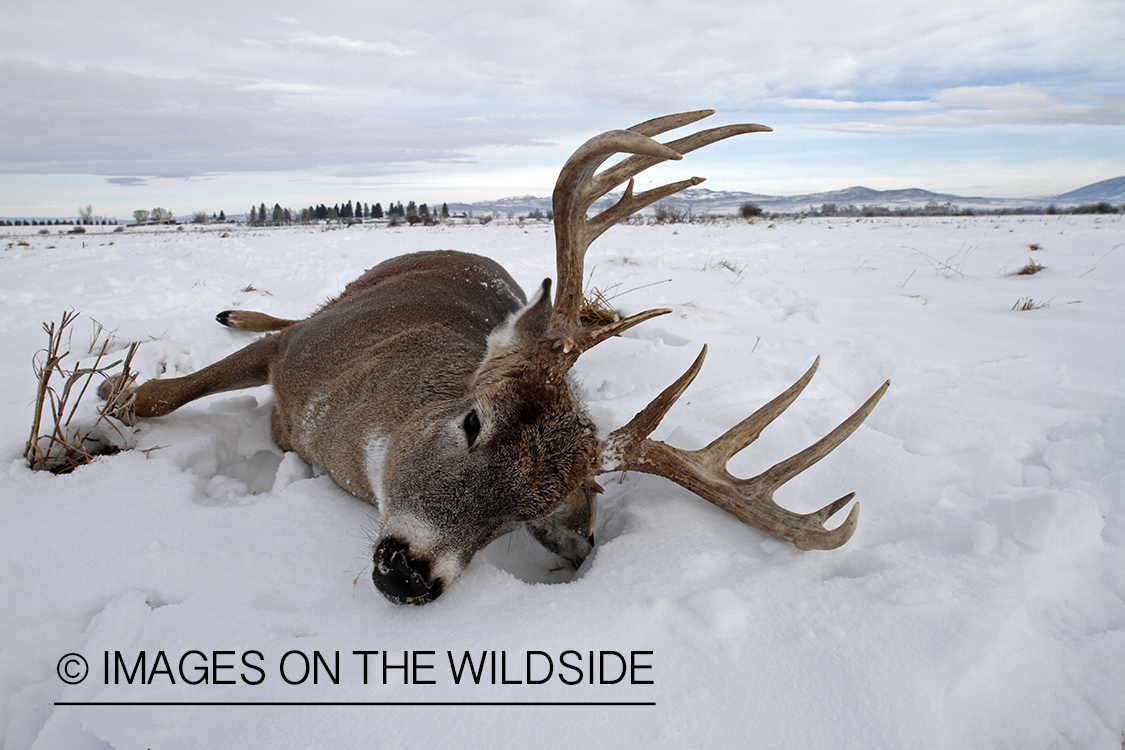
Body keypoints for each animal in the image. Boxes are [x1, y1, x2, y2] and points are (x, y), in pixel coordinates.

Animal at [101, 110, 889, 605]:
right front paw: (107, 409)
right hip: (346, 295)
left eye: (523, 515)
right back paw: (230, 312)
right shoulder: (297, 349)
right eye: (473, 422)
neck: (334, 434)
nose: (411, 573)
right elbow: (162, 394)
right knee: (287, 313)